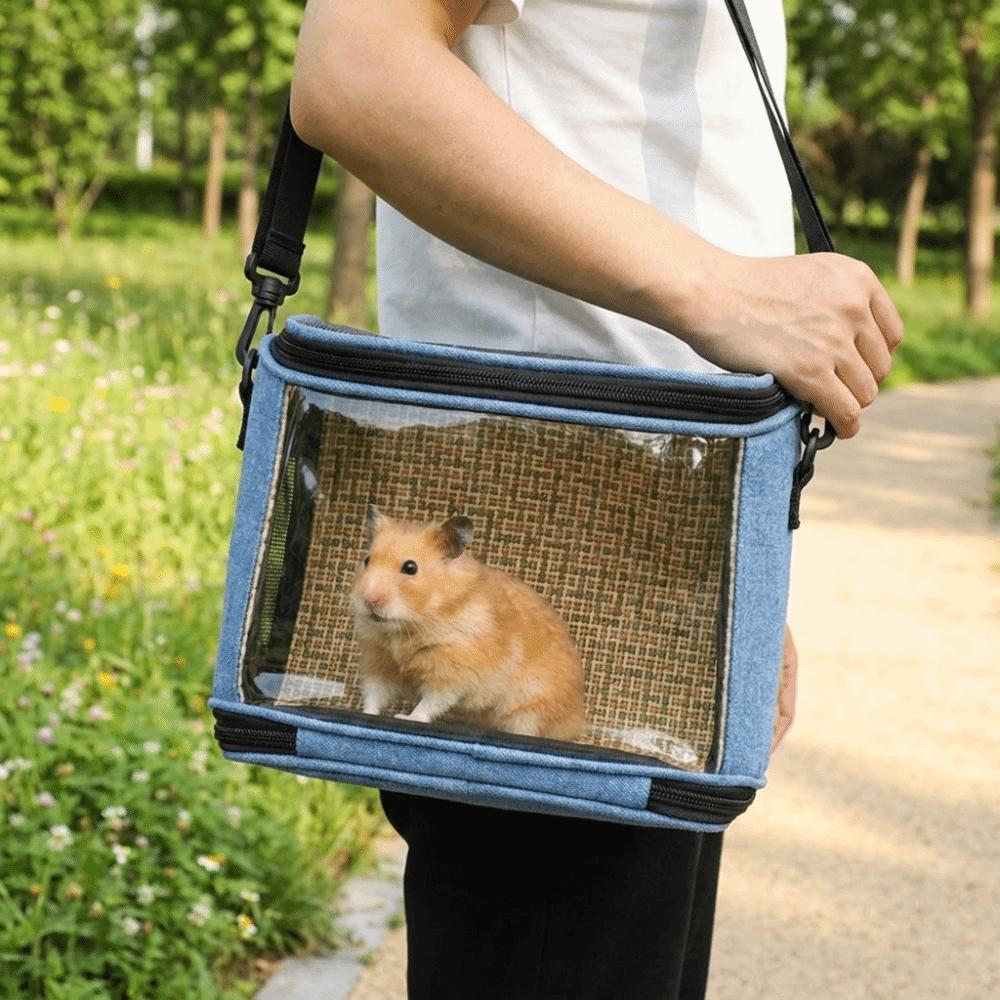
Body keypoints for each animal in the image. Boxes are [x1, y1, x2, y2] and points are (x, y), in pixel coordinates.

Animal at [349, 505, 586, 742]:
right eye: (367, 560)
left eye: (410, 567)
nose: (369, 600)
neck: (405, 628)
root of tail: (577, 719)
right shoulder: (380, 663)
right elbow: (375, 694)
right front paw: (365, 713)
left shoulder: (452, 672)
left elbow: (430, 703)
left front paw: (404, 717)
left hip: (530, 706)